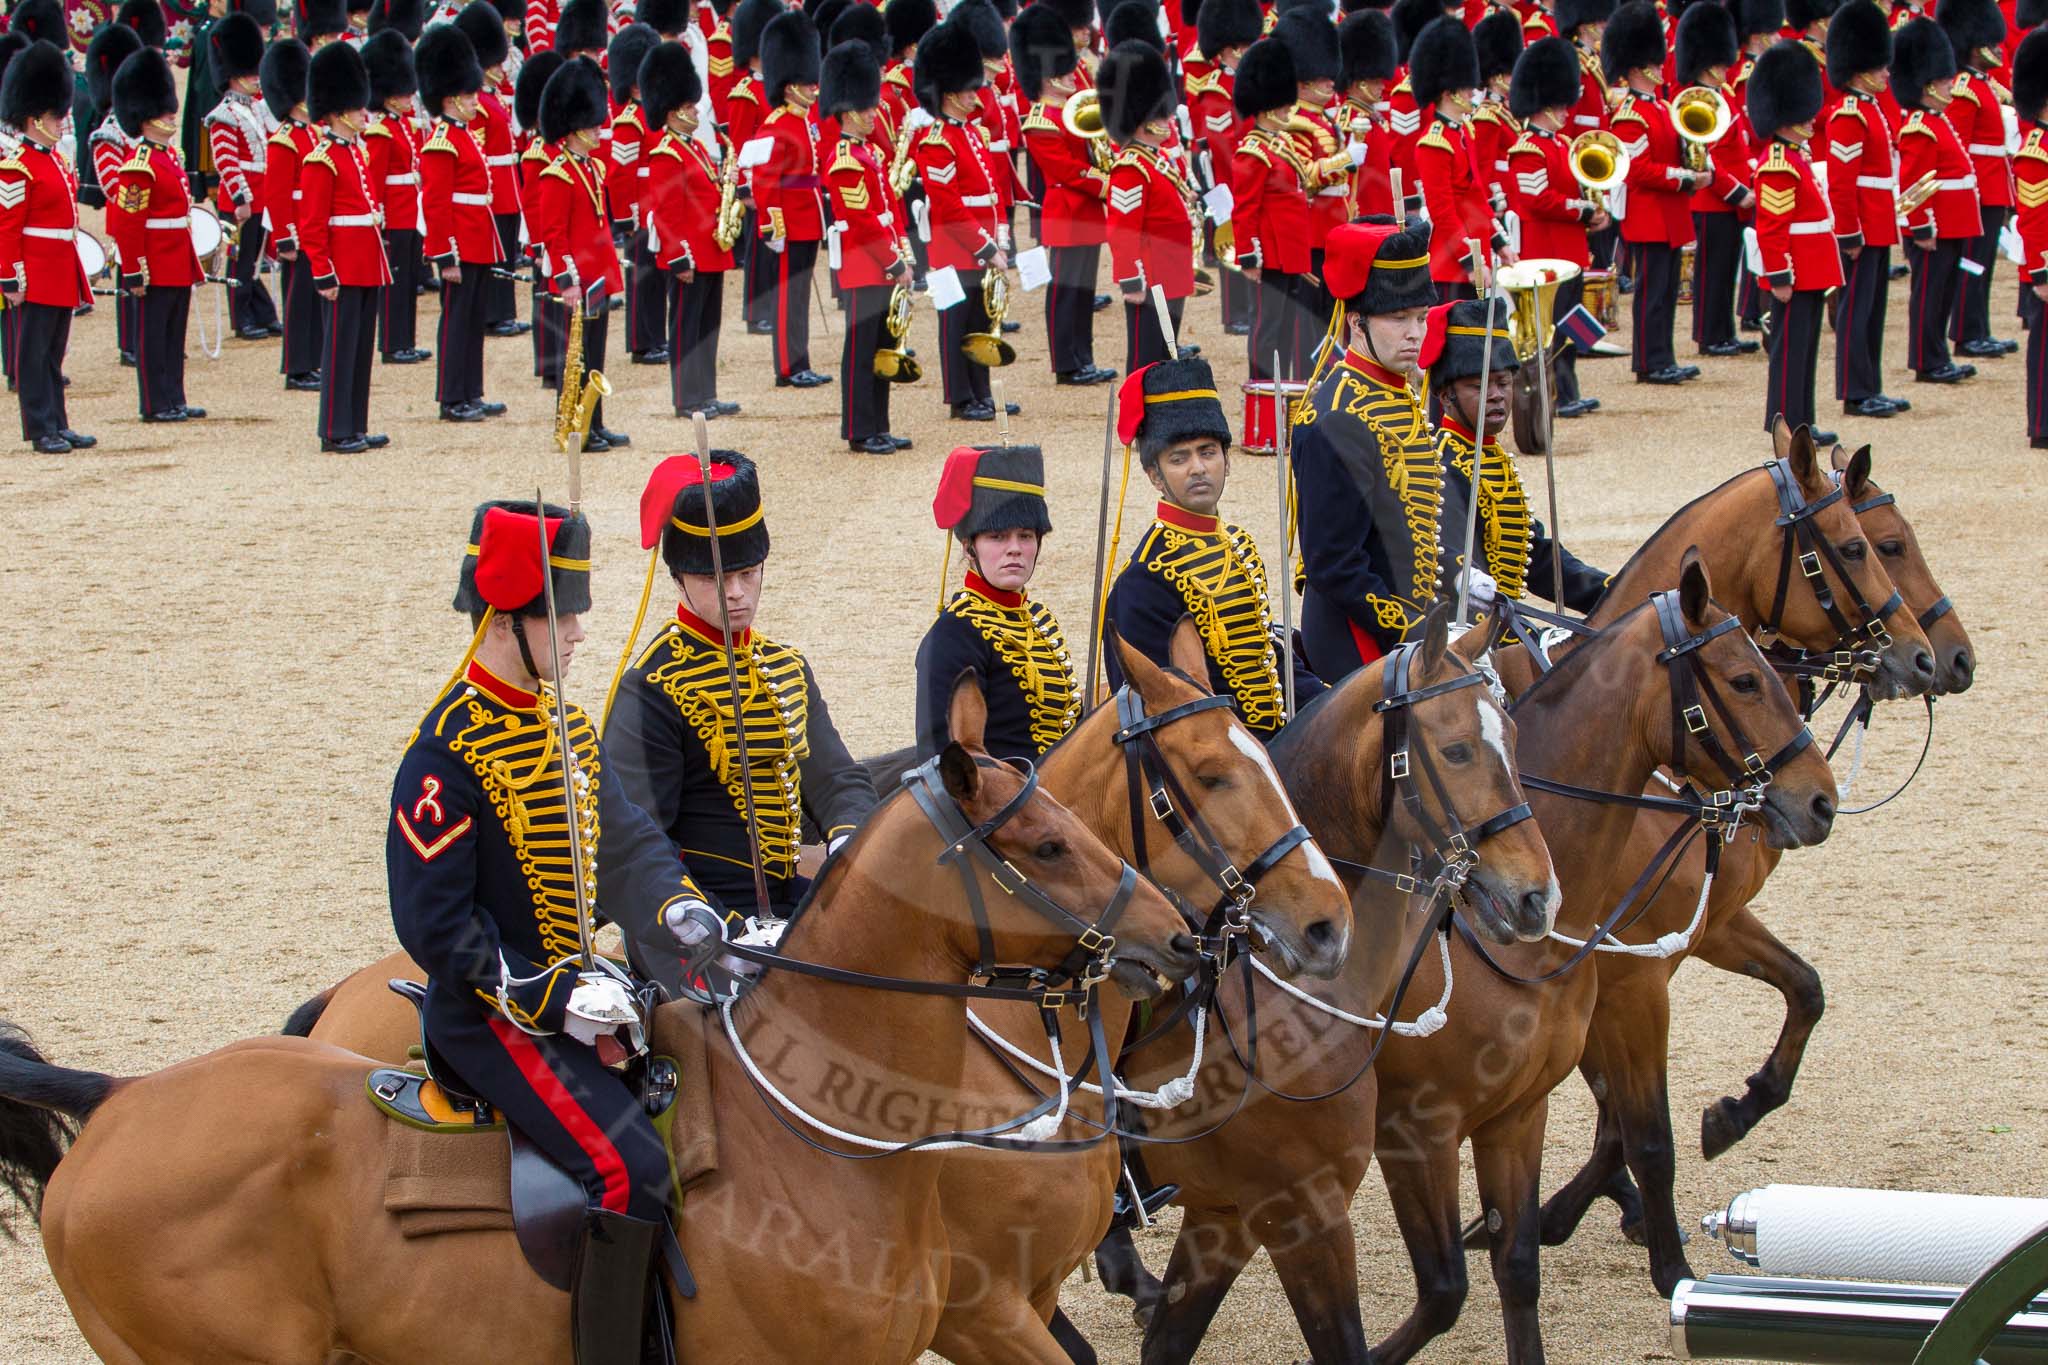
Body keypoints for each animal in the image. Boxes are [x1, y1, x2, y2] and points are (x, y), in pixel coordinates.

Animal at [1540, 444, 1974, 1301]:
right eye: (1869, 546)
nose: (1940, 657)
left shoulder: (1696, 933)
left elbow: (1804, 988)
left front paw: (1731, 1115)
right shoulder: (1632, 972)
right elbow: (1636, 1123)